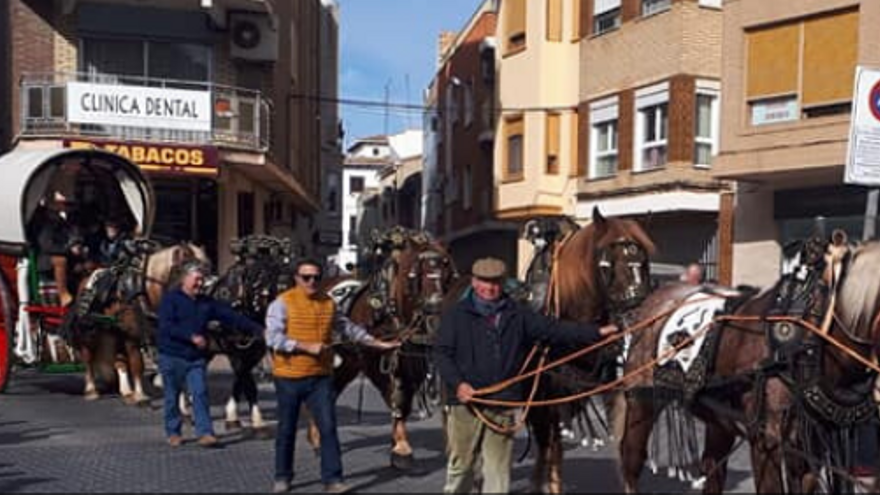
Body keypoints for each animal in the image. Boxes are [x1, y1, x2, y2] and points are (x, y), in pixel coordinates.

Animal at [316, 227, 460, 470]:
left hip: (348, 364)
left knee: (332, 391)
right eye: (415, 275)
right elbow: (396, 398)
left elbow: (409, 399)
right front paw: (401, 448)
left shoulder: (415, 361)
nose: (436, 318)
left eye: (447, 269)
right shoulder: (378, 363)